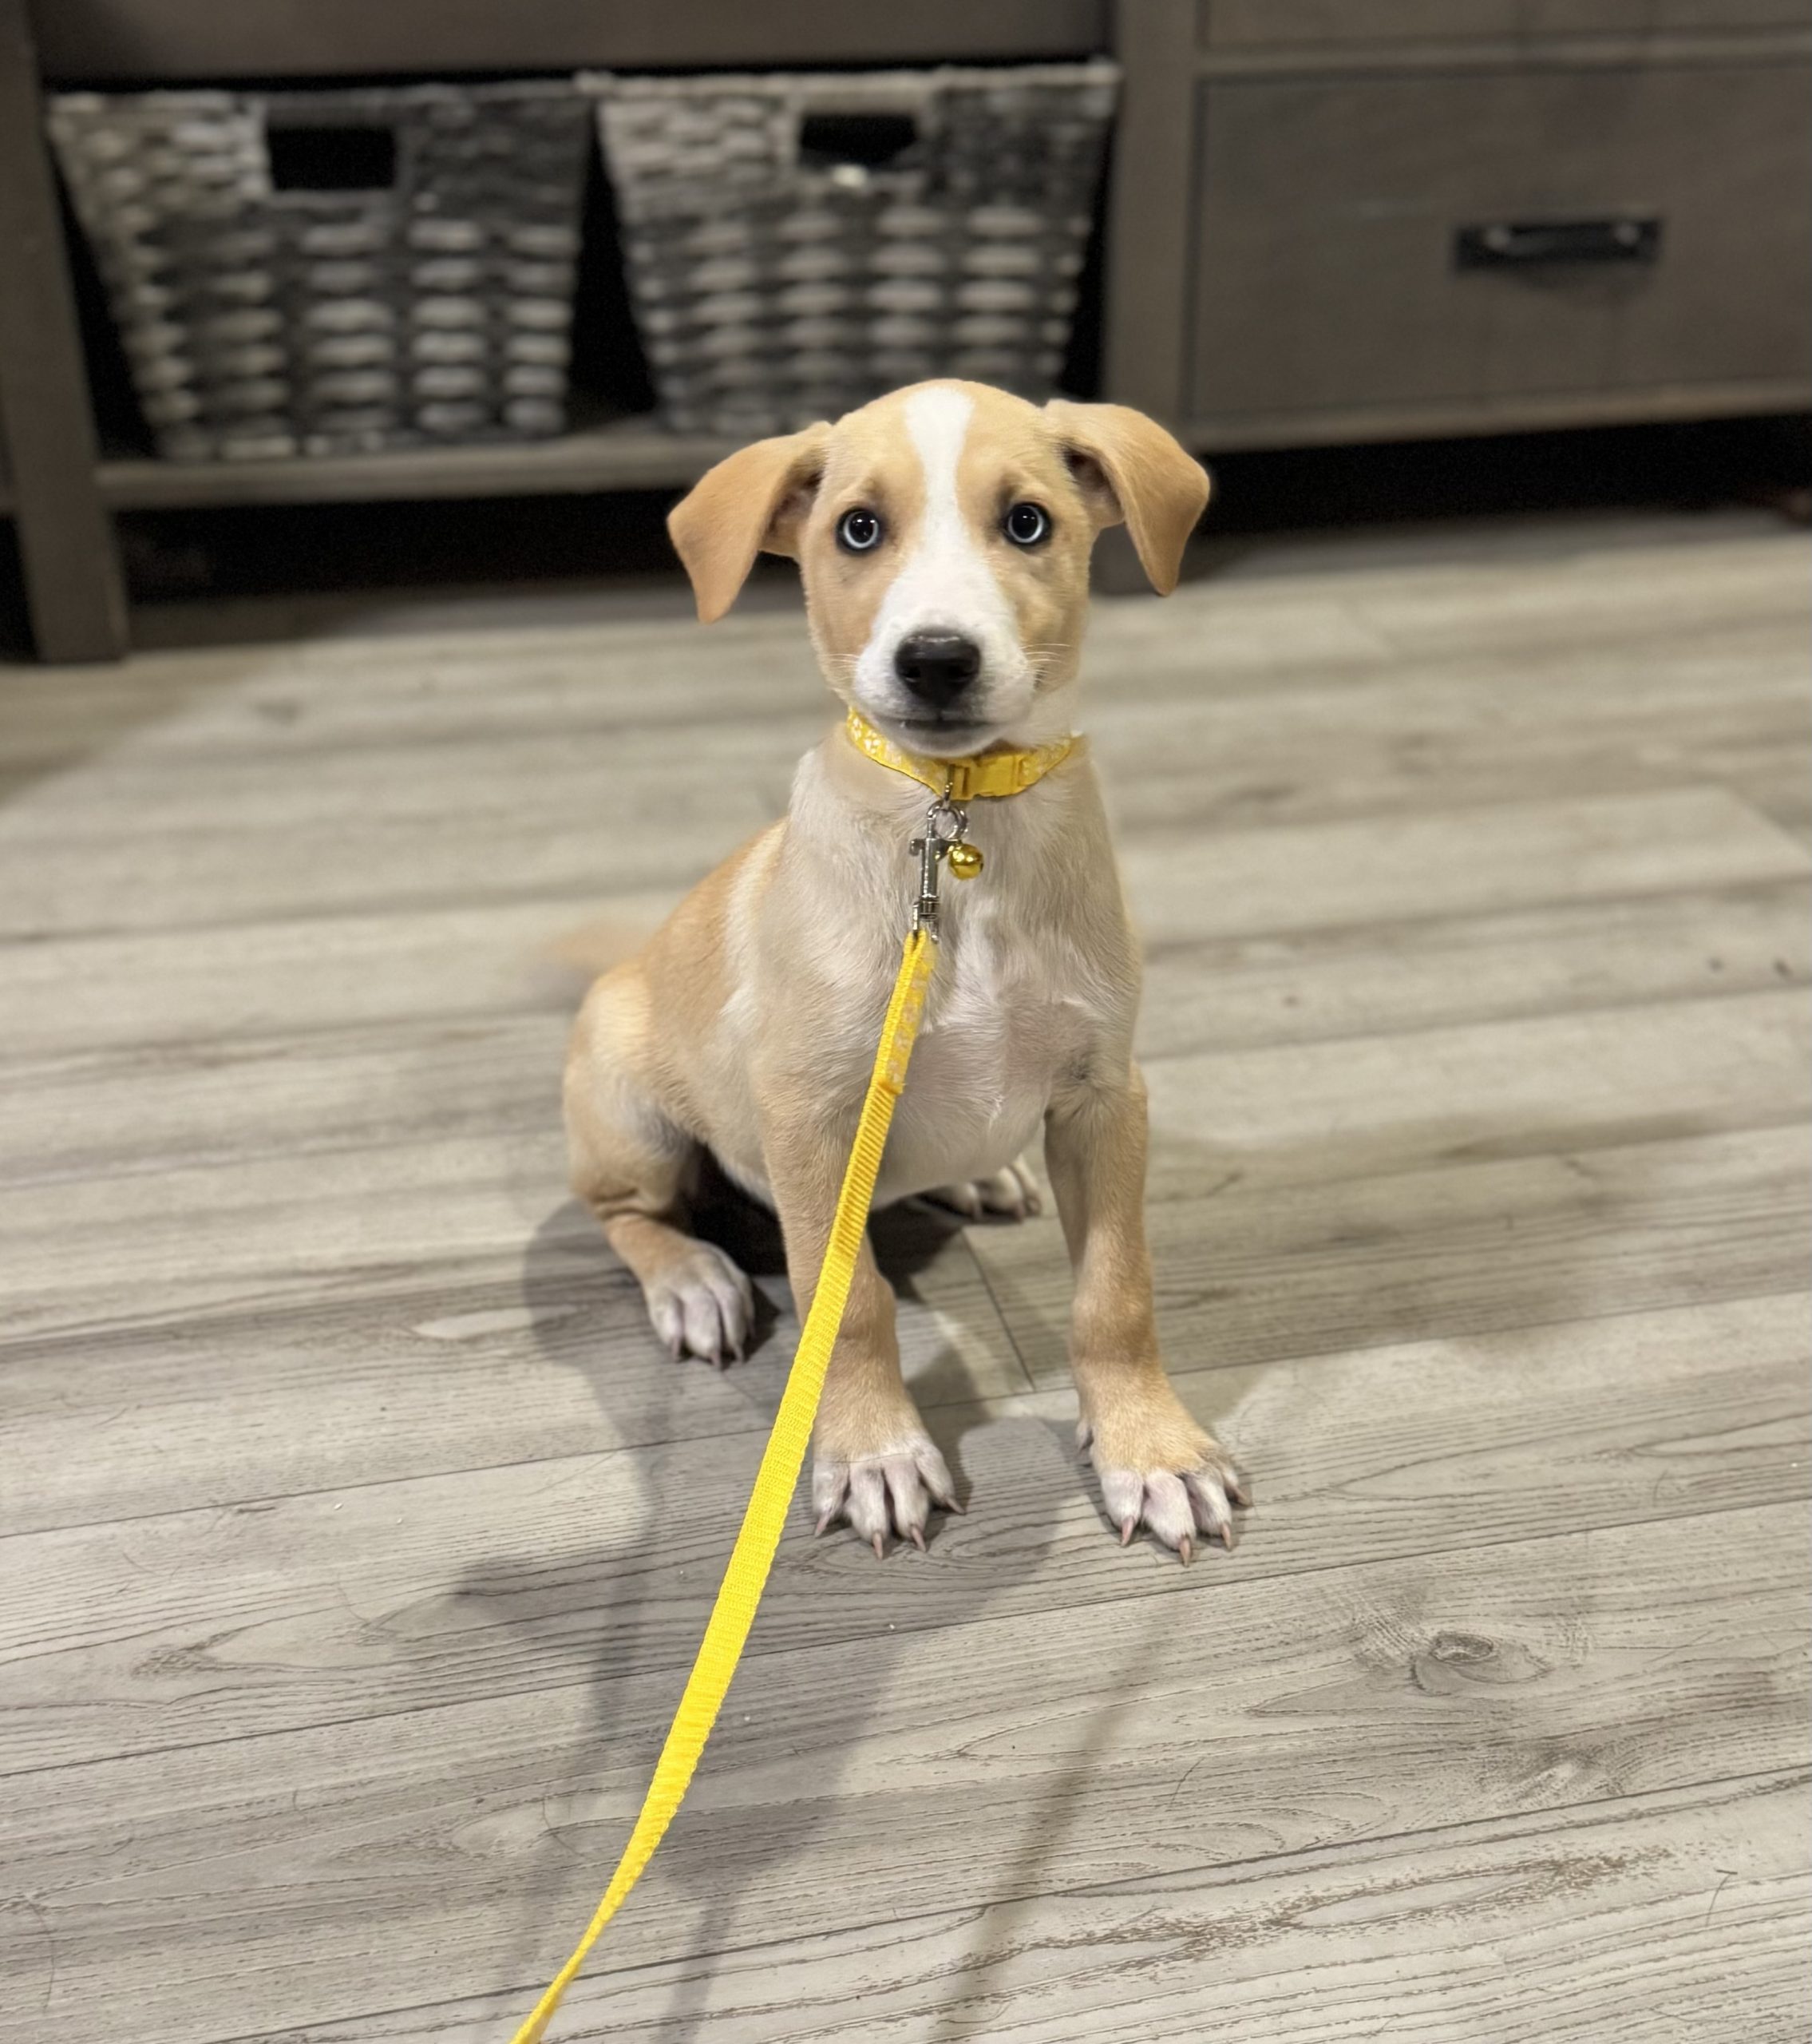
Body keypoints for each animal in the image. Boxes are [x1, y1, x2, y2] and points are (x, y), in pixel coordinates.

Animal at [564, 379, 1248, 1560]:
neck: (956, 822)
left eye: (1026, 522)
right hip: (628, 1108)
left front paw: (1150, 1450)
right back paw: (694, 1281)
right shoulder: (807, 1119)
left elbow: (1115, 1292)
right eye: (856, 529)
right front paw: (874, 1451)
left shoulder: (1104, 1095)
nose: (936, 659)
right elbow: (851, 1305)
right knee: (627, 1215)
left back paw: (975, 1172)